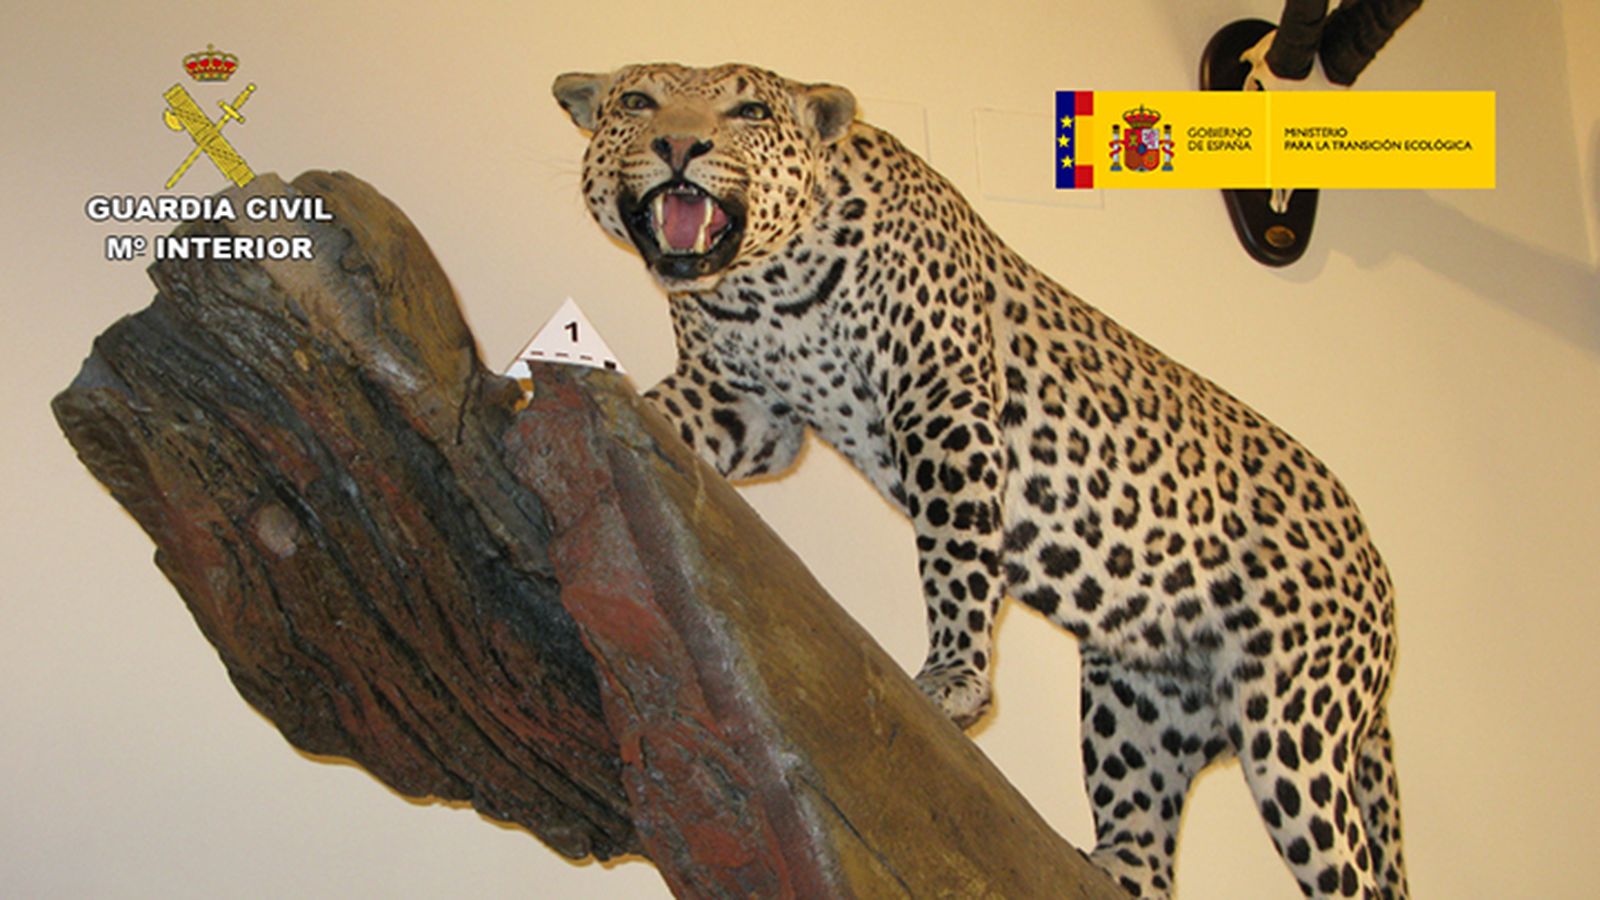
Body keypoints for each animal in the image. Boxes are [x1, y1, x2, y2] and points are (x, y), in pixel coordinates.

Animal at [553, 62, 1406, 899]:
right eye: (638, 101)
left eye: (749, 111)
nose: (678, 146)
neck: (760, 288)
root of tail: (1376, 570)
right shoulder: (747, 407)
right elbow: (665, 409)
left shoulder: (942, 395)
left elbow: (955, 548)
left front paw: (954, 679)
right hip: (1140, 702)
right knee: (1152, 854)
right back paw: (1113, 868)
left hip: (1294, 723)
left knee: (1350, 870)